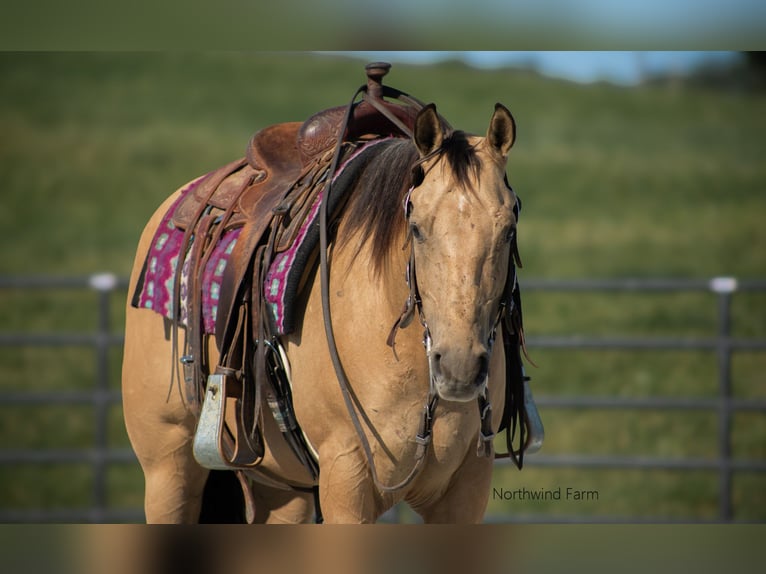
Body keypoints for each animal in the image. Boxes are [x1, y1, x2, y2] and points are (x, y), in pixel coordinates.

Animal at [121, 64, 540, 528]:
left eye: (509, 229)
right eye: (416, 226)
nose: (460, 367)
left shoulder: (466, 487)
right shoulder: (346, 474)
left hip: (281, 486)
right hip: (168, 465)